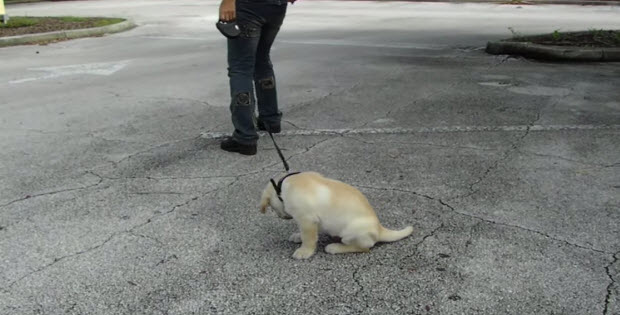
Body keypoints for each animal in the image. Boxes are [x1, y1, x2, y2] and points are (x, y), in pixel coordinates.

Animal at [260, 172, 414, 260]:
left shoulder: (307, 220)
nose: (282, 217)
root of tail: (379, 228)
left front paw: (305, 251)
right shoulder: (312, 221)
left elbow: (309, 238)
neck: (282, 187)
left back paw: (335, 247)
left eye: (272, 208)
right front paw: (298, 236)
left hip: (351, 232)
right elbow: (306, 234)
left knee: (364, 248)